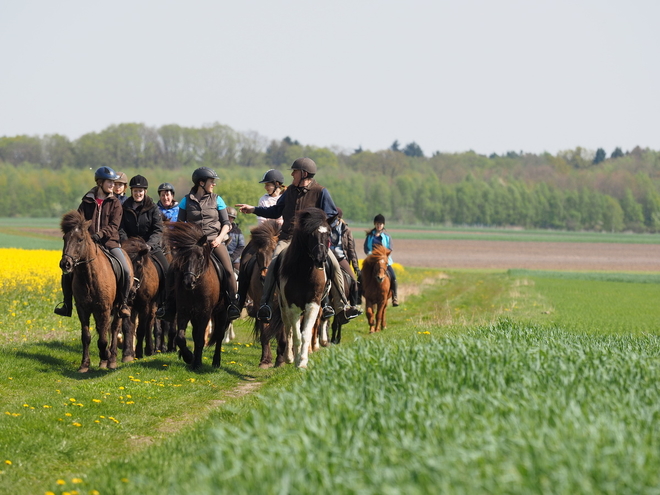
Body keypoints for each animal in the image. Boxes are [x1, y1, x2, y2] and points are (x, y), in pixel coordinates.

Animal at [59, 211, 135, 374]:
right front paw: (84, 365)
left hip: (117, 307)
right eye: (64, 238)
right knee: (102, 329)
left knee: (113, 329)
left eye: (80, 239)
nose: (65, 264)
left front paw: (106, 354)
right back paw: (103, 362)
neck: (88, 275)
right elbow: (86, 336)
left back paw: (111, 360)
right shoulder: (83, 309)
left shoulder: (104, 308)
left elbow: (103, 339)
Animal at [165, 221, 232, 368]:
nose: (189, 282)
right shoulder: (184, 311)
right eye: (183, 257)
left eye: (200, 257)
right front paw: (189, 357)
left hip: (222, 313)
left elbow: (201, 339)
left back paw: (216, 362)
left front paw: (197, 364)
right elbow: (181, 338)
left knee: (219, 336)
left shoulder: (205, 313)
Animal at [237, 220, 278, 368]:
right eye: (259, 254)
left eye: (274, 250)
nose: (264, 277)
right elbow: (265, 333)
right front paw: (265, 360)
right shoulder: (263, 307)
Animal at [266, 207, 332, 370]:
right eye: (310, 234)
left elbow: (305, 333)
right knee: (288, 328)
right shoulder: (292, 306)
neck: (304, 272)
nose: (321, 259)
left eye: (328, 233)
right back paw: (289, 357)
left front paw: (302, 361)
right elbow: (295, 334)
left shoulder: (313, 304)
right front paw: (295, 359)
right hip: (284, 308)